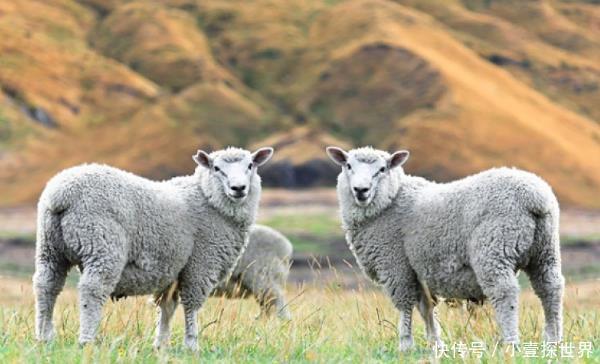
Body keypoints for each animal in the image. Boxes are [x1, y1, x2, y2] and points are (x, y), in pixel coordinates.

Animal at [32, 146, 274, 350]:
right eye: (217, 168)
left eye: (250, 166)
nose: (238, 188)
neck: (207, 199)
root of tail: (62, 194)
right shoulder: (201, 263)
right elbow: (191, 305)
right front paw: (191, 344)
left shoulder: (174, 269)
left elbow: (167, 307)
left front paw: (161, 344)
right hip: (102, 245)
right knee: (93, 289)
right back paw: (86, 340)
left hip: (50, 248)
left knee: (47, 285)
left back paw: (44, 336)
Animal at [326, 146, 564, 352]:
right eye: (348, 165)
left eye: (382, 169)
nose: (361, 190)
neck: (391, 200)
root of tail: (534, 196)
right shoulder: (416, 269)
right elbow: (425, 308)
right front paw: (435, 343)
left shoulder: (395, 264)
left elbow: (405, 305)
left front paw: (405, 344)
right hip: (545, 250)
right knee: (550, 288)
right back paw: (553, 341)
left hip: (494, 248)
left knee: (504, 292)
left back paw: (511, 343)